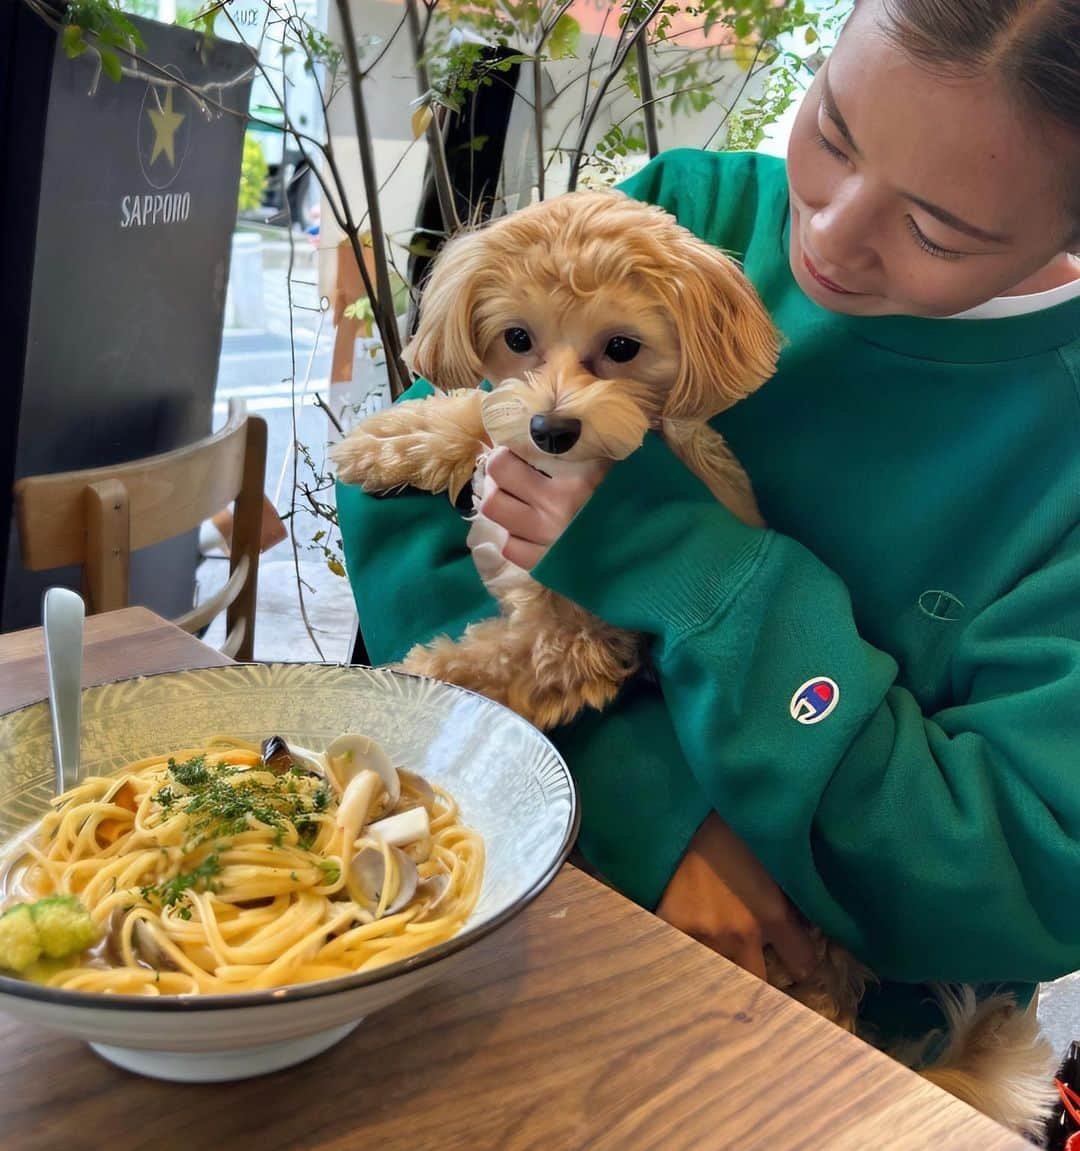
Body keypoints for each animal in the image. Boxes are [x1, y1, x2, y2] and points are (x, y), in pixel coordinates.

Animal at [331, 191, 1054, 1132]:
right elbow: (474, 413)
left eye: (622, 347)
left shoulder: (577, 641)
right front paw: (389, 439)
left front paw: (413, 688)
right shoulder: (506, 435)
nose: (553, 427)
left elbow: (487, 666)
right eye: (517, 337)